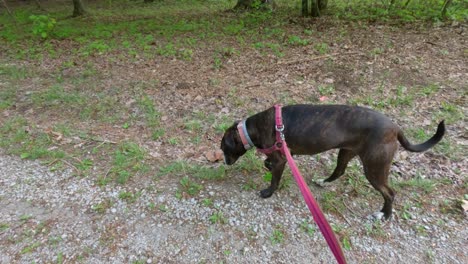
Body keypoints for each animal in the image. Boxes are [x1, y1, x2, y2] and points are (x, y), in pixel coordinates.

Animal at [221, 104, 444, 220]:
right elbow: (268, 164)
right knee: (339, 171)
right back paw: (323, 182)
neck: (250, 129)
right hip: (346, 153)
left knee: (390, 193)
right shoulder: (282, 157)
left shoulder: (280, 159)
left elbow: (274, 179)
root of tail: (396, 128)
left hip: (374, 167)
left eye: (223, 148)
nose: (225, 163)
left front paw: (268, 192)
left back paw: (385, 215)